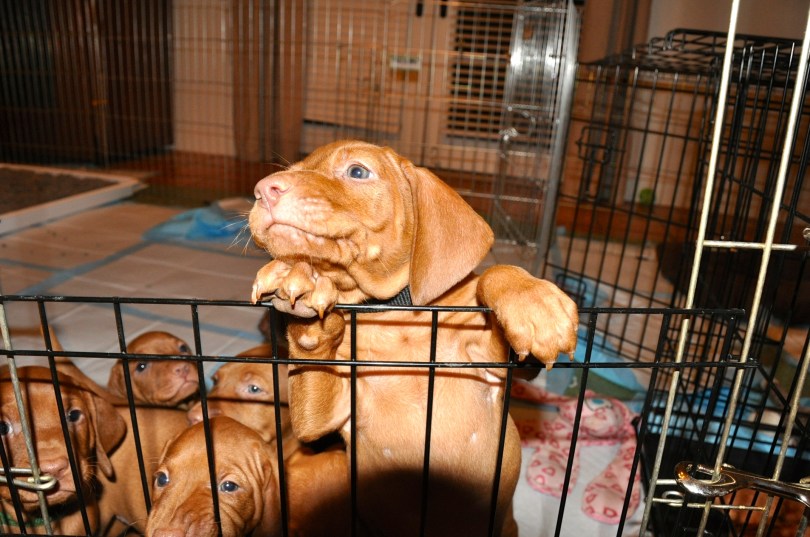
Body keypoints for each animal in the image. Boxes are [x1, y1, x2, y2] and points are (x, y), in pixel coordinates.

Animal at [248, 140, 579, 536]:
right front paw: (301, 277)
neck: (395, 317)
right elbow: (313, 351)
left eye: (357, 171)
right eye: (295, 169)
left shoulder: (494, 362)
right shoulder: (327, 416)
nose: (263, 190)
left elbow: (492, 276)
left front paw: (532, 300)